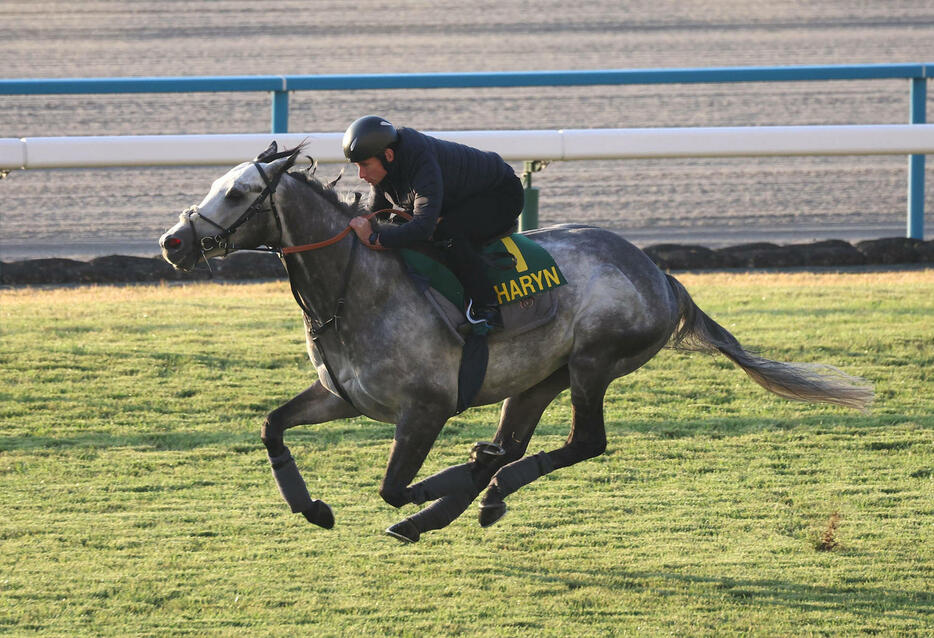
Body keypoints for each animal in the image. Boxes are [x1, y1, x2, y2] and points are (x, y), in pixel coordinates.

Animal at [161, 146, 876, 544]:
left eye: (239, 192)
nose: (174, 241)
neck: (357, 288)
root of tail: (660, 274)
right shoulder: (344, 397)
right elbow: (272, 426)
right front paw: (312, 509)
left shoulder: (426, 408)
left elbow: (394, 486)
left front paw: (444, 489)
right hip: (537, 380)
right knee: (516, 442)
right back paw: (481, 492)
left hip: (593, 363)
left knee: (582, 443)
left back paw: (480, 488)